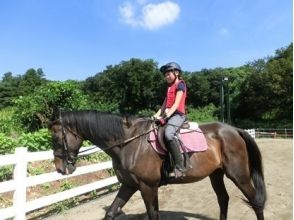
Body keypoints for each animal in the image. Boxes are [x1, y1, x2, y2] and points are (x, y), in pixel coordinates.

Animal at [48, 110, 266, 220]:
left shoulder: (147, 187)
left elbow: (153, 216)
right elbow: (111, 213)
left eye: (56, 137)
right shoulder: (130, 185)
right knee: (223, 199)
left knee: (255, 200)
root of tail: (234, 130)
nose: (59, 168)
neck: (129, 142)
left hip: (239, 175)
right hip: (216, 174)